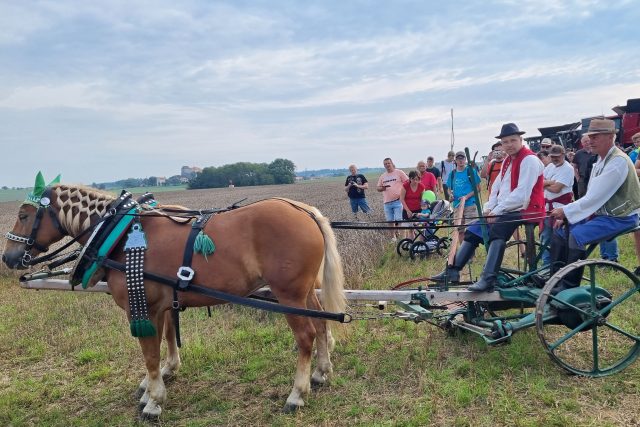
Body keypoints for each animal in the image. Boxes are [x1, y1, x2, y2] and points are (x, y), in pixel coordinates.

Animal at [3, 182, 344, 420]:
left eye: (23, 215)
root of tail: (306, 212)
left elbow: (150, 354)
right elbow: (162, 343)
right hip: (303, 293)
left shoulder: (142, 307)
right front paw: (157, 384)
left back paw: (296, 394)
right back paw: (321, 373)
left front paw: (153, 401)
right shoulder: (158, 307)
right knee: (322, 325)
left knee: (306, 336)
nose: (8, 257)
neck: (121, 236)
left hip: (288, 293)